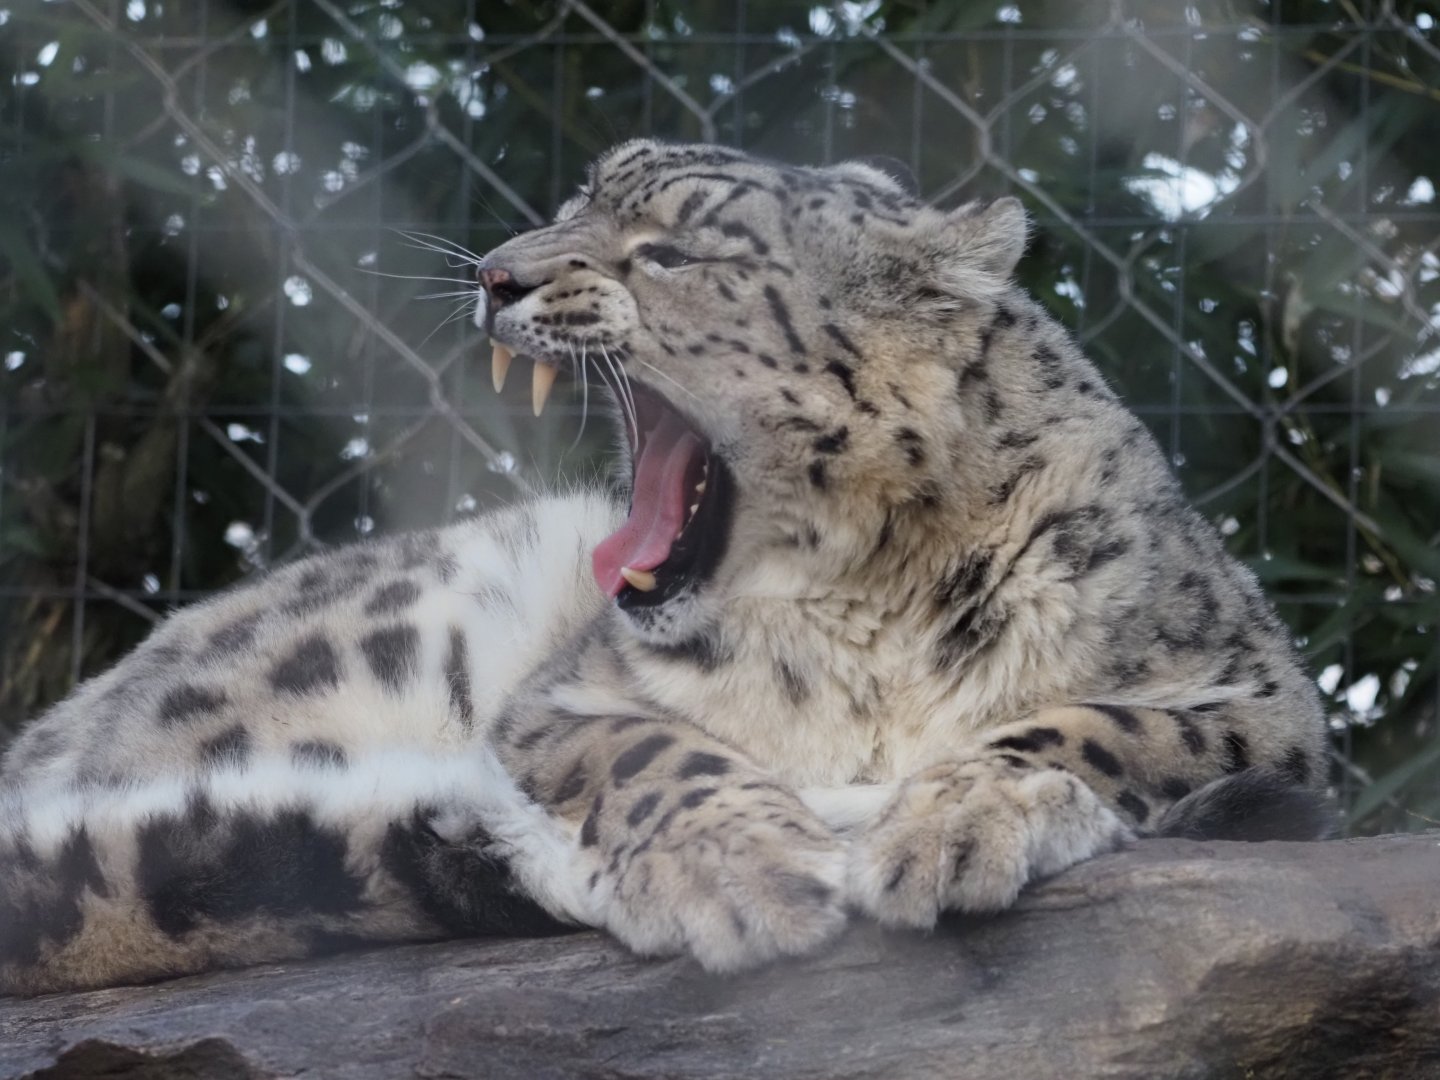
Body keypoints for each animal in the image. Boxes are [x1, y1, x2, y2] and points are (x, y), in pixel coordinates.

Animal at [0, 139, 1330, 996]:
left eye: (674, 252)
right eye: (574, 201)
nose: (497, 272)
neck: (864, 618)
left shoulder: (1258, 693)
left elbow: (1093, 726)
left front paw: (952, 822)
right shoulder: (564, 697)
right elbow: (651, 750)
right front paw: (753, 870)